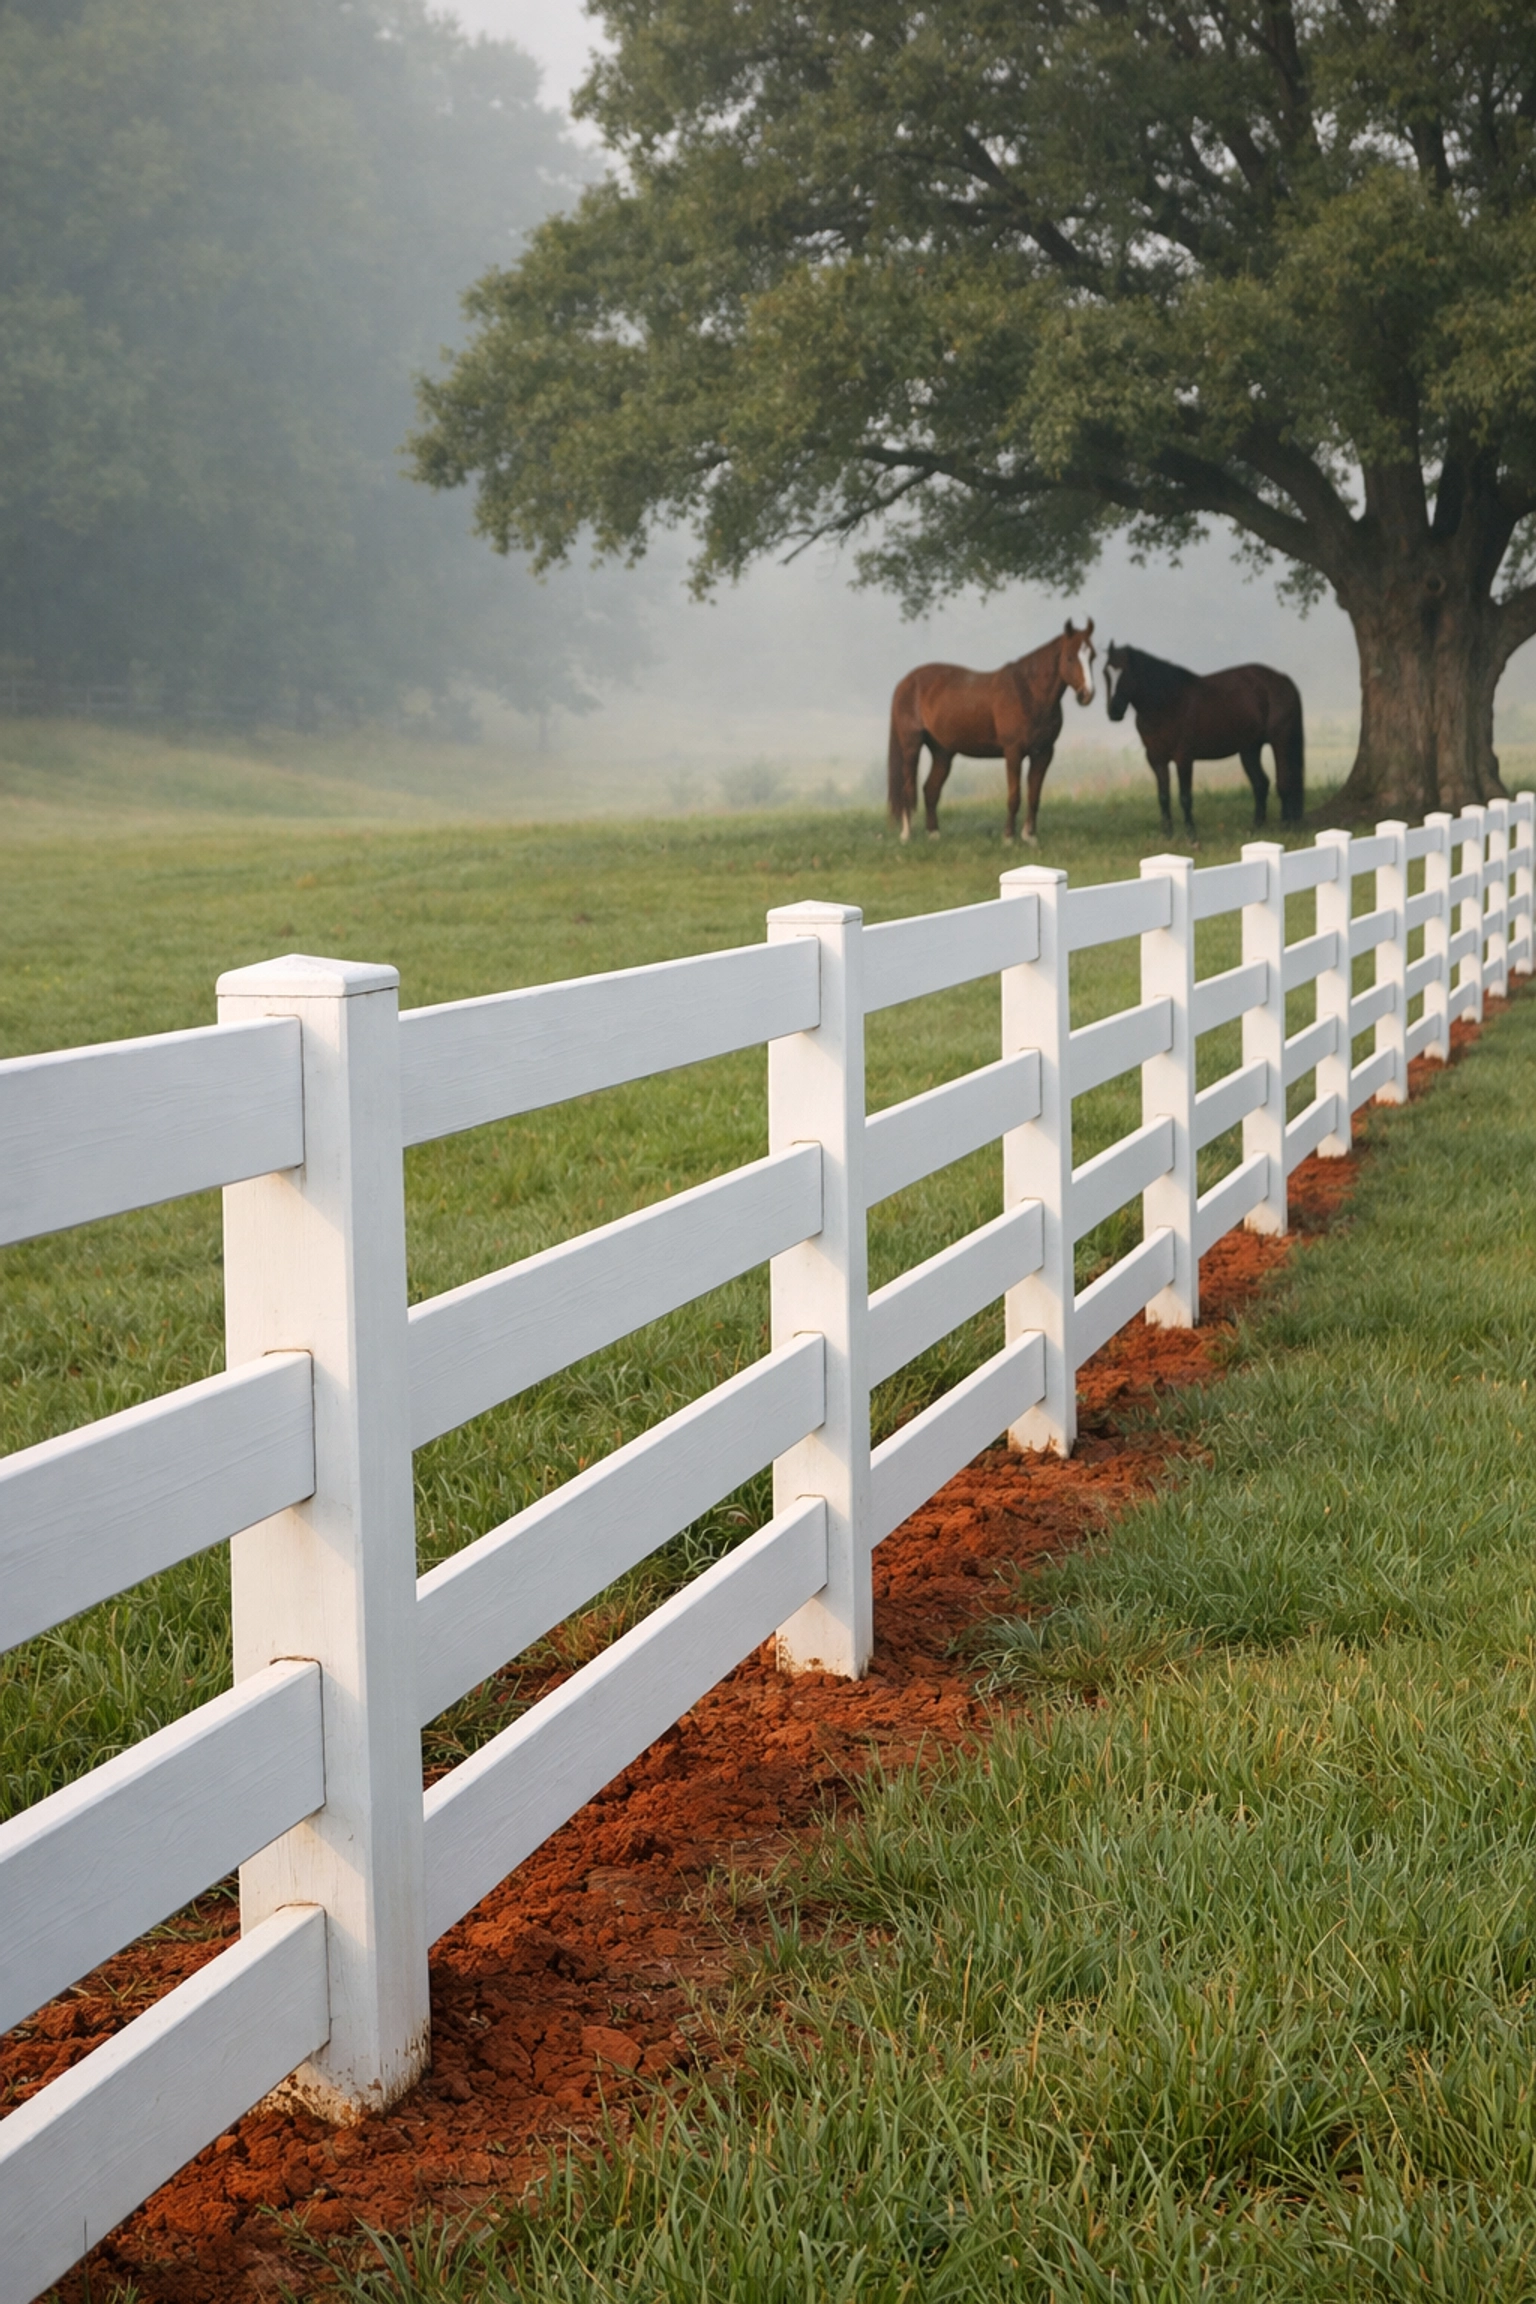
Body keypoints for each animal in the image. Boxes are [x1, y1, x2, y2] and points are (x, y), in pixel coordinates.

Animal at [887, 619, 1096, 843]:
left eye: (1092, 655)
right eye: (1070, 657)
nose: (1087, 694)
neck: (1029, 693)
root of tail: (905, 682)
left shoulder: (1044, 753)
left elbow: (1034, 796)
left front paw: (1029, 837)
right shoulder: (1013, 751)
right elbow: (1014, 796)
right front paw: (1008, 837)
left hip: (942, 752)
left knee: (930, 790)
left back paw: (934, 834)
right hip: (912, 746)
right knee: (908, 789)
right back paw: (907, 835)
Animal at [1103, 643, 1304, 842]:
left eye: (1126, 672)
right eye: (1105, 673)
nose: (1114, 711)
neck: (1168, 703)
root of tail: (1282, 679)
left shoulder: (1183, 758)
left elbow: (1185, 797)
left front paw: (1191, 836)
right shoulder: (1156, 759)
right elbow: (1163, 796)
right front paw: (1167, 836)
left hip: (1281, 741)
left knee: (1284, 782)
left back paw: (1286, 827)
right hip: (1250, 749)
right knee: (1261, 784)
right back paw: (1256, 828)